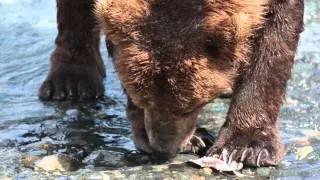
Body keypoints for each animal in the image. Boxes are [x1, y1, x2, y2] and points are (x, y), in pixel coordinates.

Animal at [38, 0, 304, 166]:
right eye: (142, 99)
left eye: (190, 107)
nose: (162, 149)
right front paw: (197, 139)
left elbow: (273, 37)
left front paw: (245, 147)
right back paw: (70, 82)